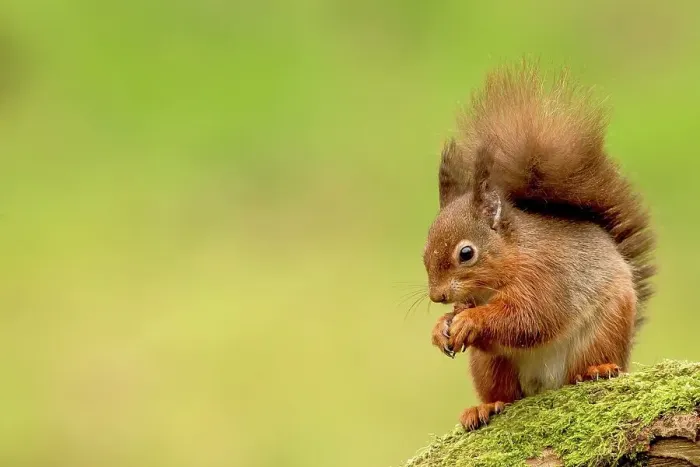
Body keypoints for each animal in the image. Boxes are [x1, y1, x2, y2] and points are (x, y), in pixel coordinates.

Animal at [422, 62, 656, 431]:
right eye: (424, 251)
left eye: (466, 253)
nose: (437, 296)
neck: (513, 256)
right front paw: (441, 326)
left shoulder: (545, 277)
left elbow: (528, 318)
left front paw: (471, 320)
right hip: (489, 365)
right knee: (504, 394)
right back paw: (484, 407)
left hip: (604, 331)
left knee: (586, 365)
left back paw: (597, 370)